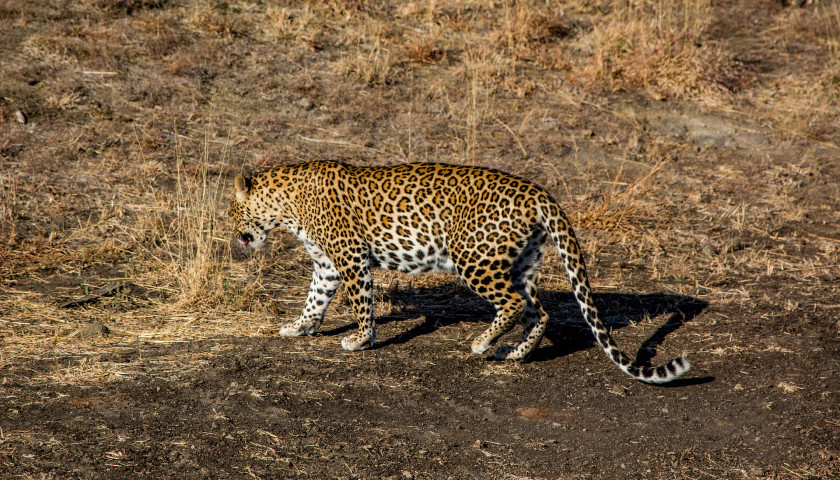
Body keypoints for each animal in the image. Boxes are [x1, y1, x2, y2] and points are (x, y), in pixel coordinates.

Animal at [228, 160, 688, 382]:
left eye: (232, 211)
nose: (236, 237)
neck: (287, 207)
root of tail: (539, 192)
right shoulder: (325, 263)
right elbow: (315, 299)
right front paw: (298, 327)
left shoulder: (349, 256)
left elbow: (361, 302)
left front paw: (359, 339)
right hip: (520, 262)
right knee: (538, 311)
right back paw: (515, 353)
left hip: (475, 259)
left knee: (513, 304)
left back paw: (482, 342)